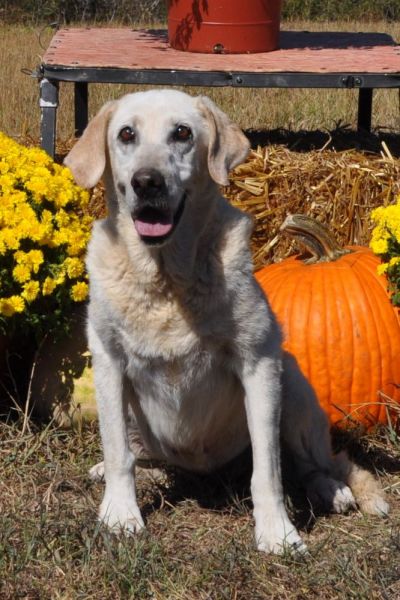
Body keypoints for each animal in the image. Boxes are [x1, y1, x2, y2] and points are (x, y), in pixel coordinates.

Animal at [64, 89, 390, 552]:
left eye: (182, 133)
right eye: (126, 134)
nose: (148, 182)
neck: (166, 279)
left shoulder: (258, 364)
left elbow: (267, 470)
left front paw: (277, 532)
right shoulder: (109, 362)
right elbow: (117, 455)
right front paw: (120, 514)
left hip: (293, 387)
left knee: (319, 463)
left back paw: (333, 490)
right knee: (143, 457)